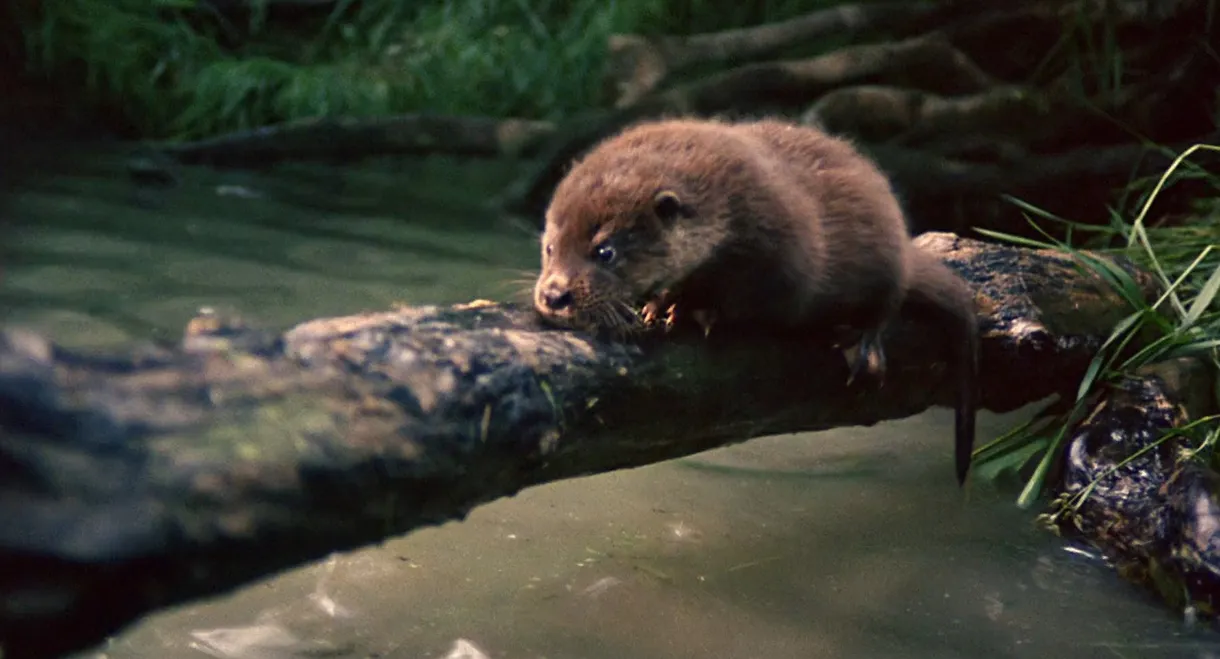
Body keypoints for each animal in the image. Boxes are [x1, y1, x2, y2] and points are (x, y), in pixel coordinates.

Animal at [532, 117, 979, 485]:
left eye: (605, 251)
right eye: (550, 246)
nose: (554, 295)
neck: (728, 208)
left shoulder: (782, 257)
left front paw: (693, 309)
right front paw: (659, 306)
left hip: (887, 256)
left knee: (889, 301)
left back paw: (863, 346)